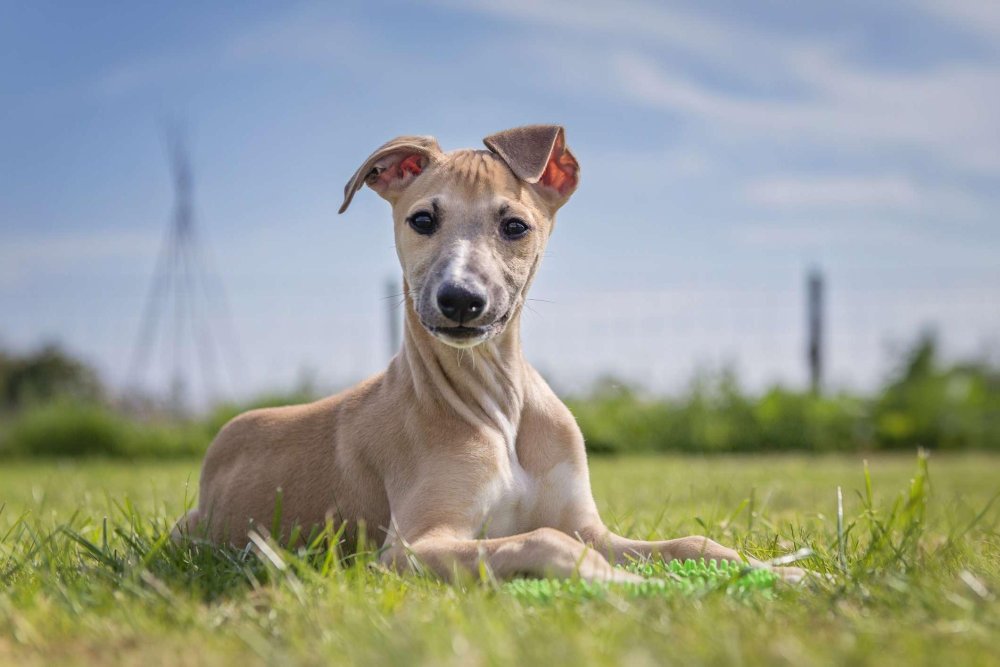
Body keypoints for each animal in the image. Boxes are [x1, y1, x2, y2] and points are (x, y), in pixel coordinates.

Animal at [174, 125, 804, 584]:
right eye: (422, 219)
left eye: (515, 226)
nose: (460, 300)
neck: (499, 406)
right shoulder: (410, 548)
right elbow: (546, 541)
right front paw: (630, 585)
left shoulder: (593, 528)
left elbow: (692, 542)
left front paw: (783, 573)